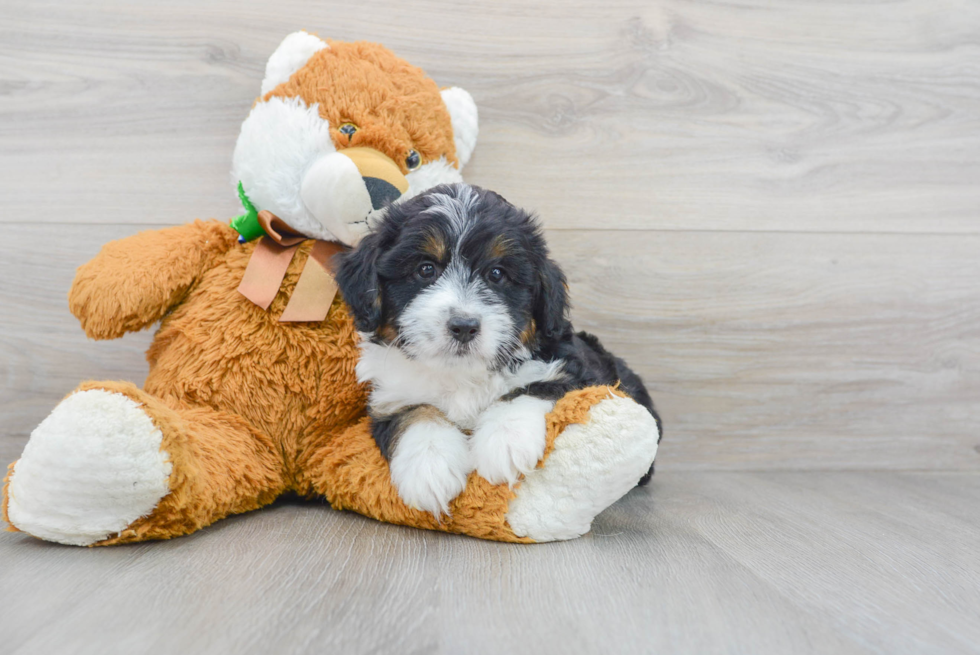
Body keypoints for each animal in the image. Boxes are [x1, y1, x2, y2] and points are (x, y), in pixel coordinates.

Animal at [334, 184, 664, 516]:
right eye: (426, 269)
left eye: (496, 274)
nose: (464, 326)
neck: (462, 374)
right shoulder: (389, 397)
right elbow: (414, 412)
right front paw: (430, 465)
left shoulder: (575, 371)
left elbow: (531, 387)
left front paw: (506, 442)